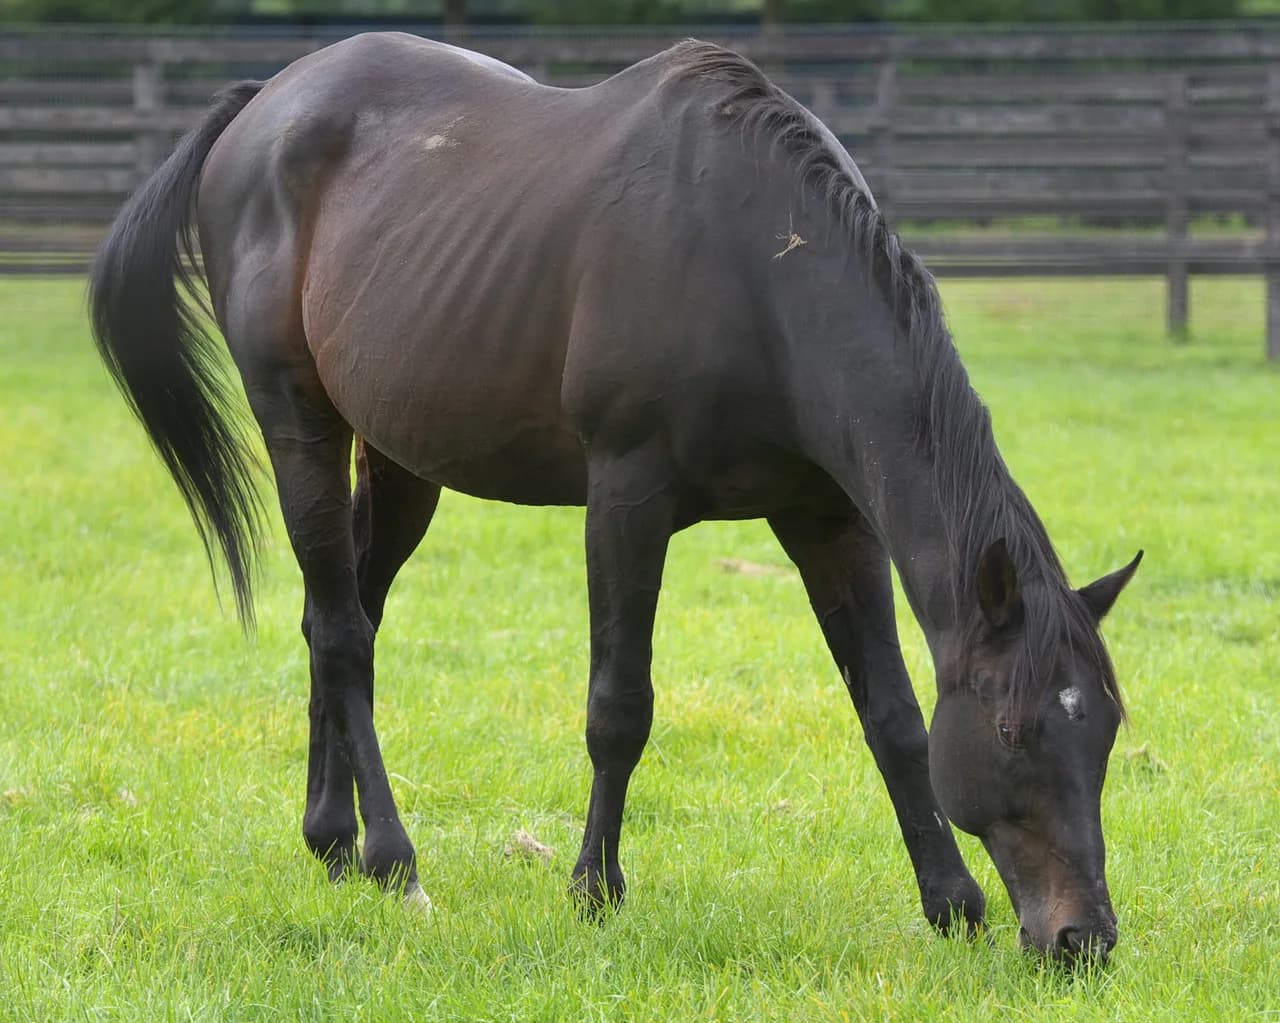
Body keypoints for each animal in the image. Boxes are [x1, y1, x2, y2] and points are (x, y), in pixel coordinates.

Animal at [89, 32, 1141, 962]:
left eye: (1104, 727)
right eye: (1011, 730)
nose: (1082, 939)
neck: (757, 263)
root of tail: (263, 103)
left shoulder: (829, 519)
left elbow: (892, 713)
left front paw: (950, 899)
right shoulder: (629, 500)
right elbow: (619, 705)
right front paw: (594, 887)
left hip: (399, 458)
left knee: (338, 612)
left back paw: (331, 840)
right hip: (298, 422)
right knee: (344, 631)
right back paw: (394, 860)